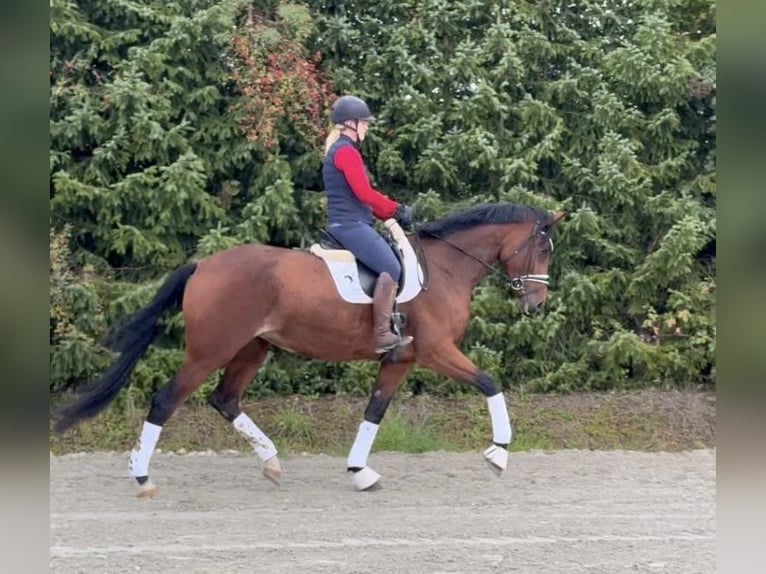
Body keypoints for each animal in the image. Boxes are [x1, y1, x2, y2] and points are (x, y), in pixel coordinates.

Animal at [54, 202, 564, 496]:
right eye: (543, 249)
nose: (537, 304)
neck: (444, 267)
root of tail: (203, 265)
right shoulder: (435, 350)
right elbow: (489, 383)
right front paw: (499, 453)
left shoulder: (401, 359)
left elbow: (374, 411)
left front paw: (360, 472)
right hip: (210, 351)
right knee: (165, 401)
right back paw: (142, 477)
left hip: (252, 348)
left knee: (226, 399)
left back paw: (272, 462)